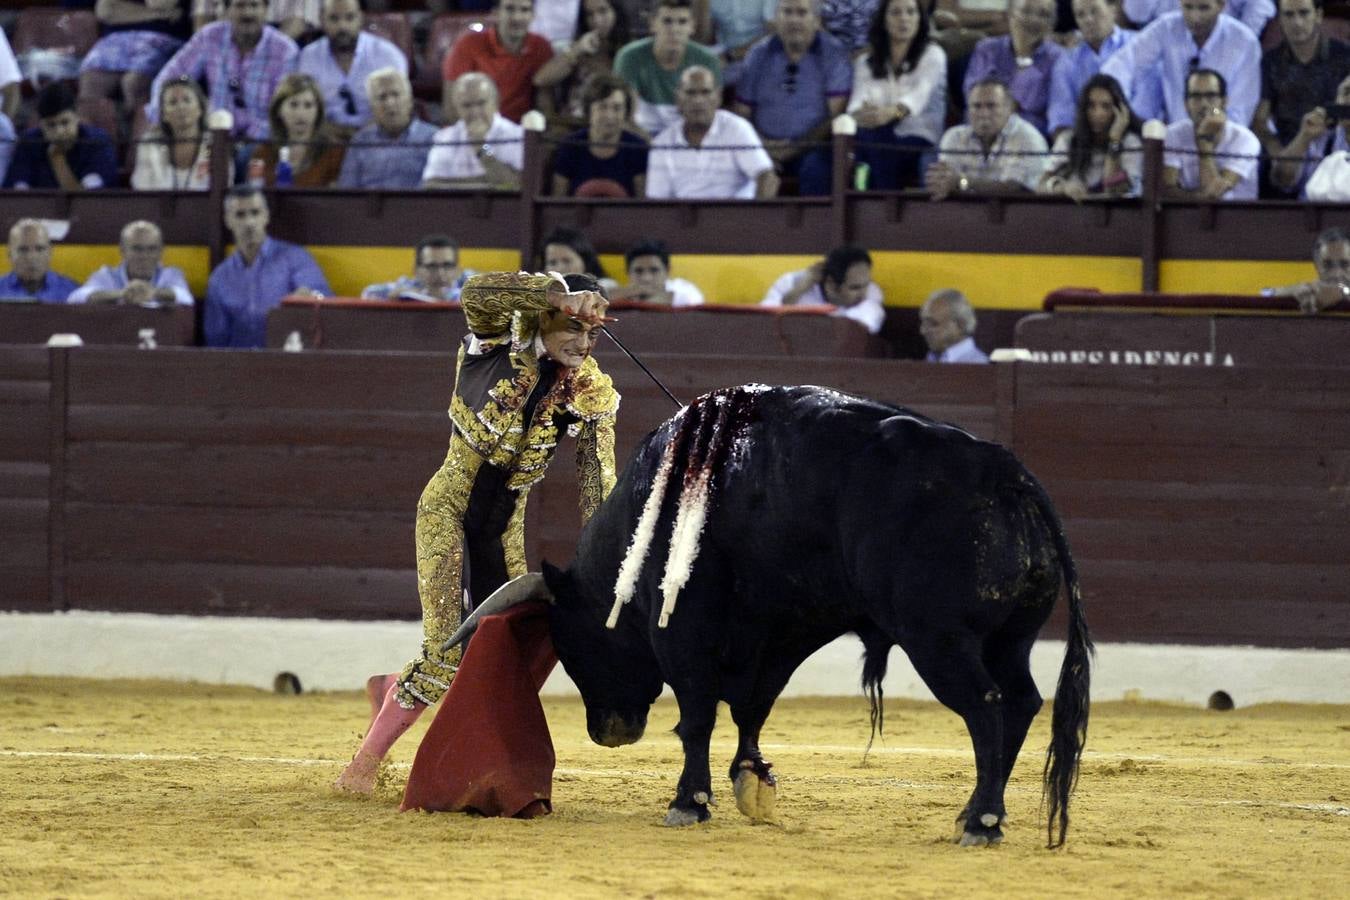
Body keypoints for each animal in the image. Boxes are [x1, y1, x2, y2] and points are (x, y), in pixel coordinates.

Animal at [448, 383, 1090, 847]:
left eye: (569, 644)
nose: (609, 733)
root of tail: (1008, 474)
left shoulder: (683, 632)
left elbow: (698, 716)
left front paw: (689, 802)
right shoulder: (779, 632)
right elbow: (752, 708)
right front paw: (752, 780)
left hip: (939, 641)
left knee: (986, 706)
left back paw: (982, 822)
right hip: (1009, 640)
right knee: (1022, 702)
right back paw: (975, 813)